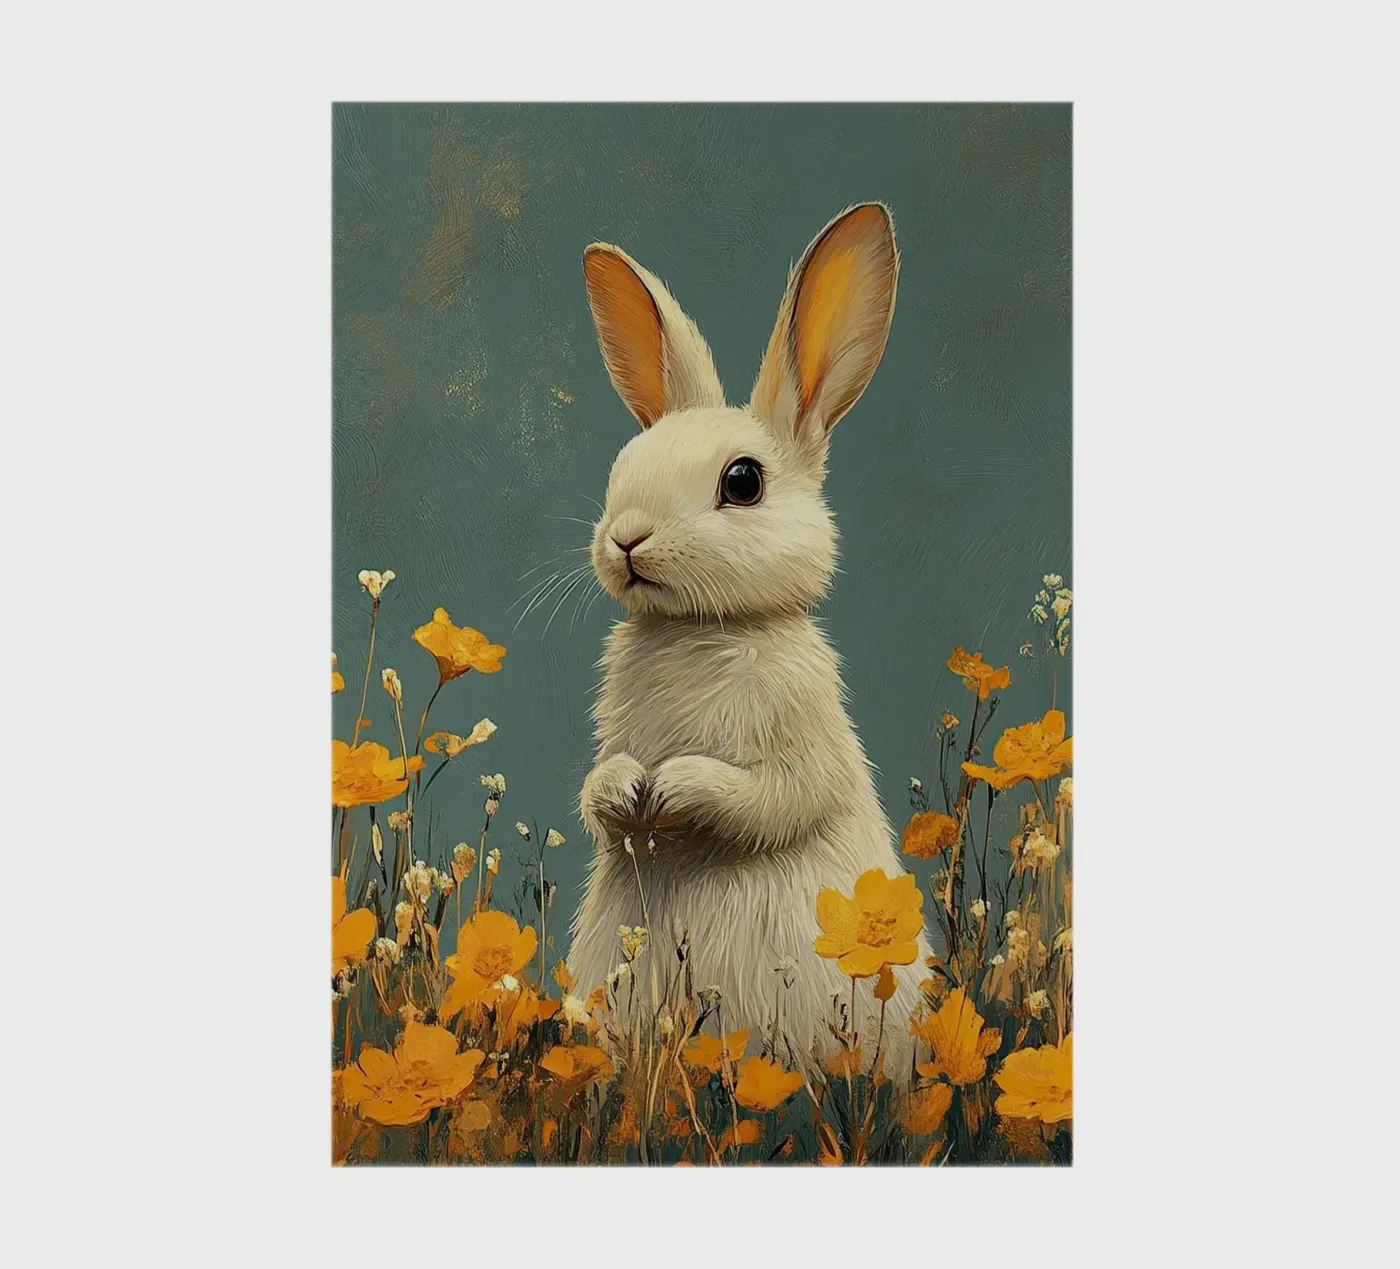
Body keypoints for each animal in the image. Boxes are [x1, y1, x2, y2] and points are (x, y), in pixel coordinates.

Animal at [566, 203, 932, 1086]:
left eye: (743, 482)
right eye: (621, 468)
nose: (625, 540)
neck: (707, 627)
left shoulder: (804, 738)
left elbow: (776, 798)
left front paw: (674, 787)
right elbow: (598, 794)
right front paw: (627, 790)